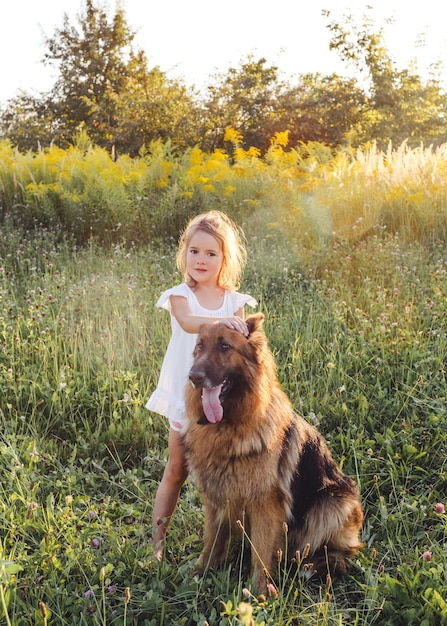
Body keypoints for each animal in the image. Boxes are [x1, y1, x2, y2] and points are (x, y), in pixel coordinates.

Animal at [183, 314, 364, 588]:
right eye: (200, 347)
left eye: (225, 346)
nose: (193, 377)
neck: (229, 427)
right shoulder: (215, 498)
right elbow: (211, 540)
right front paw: (201, 573)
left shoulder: (265, 506)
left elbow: (261, 552)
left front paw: (259, 591)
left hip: (331, 503)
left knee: (344, 552)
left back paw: (313, 565)